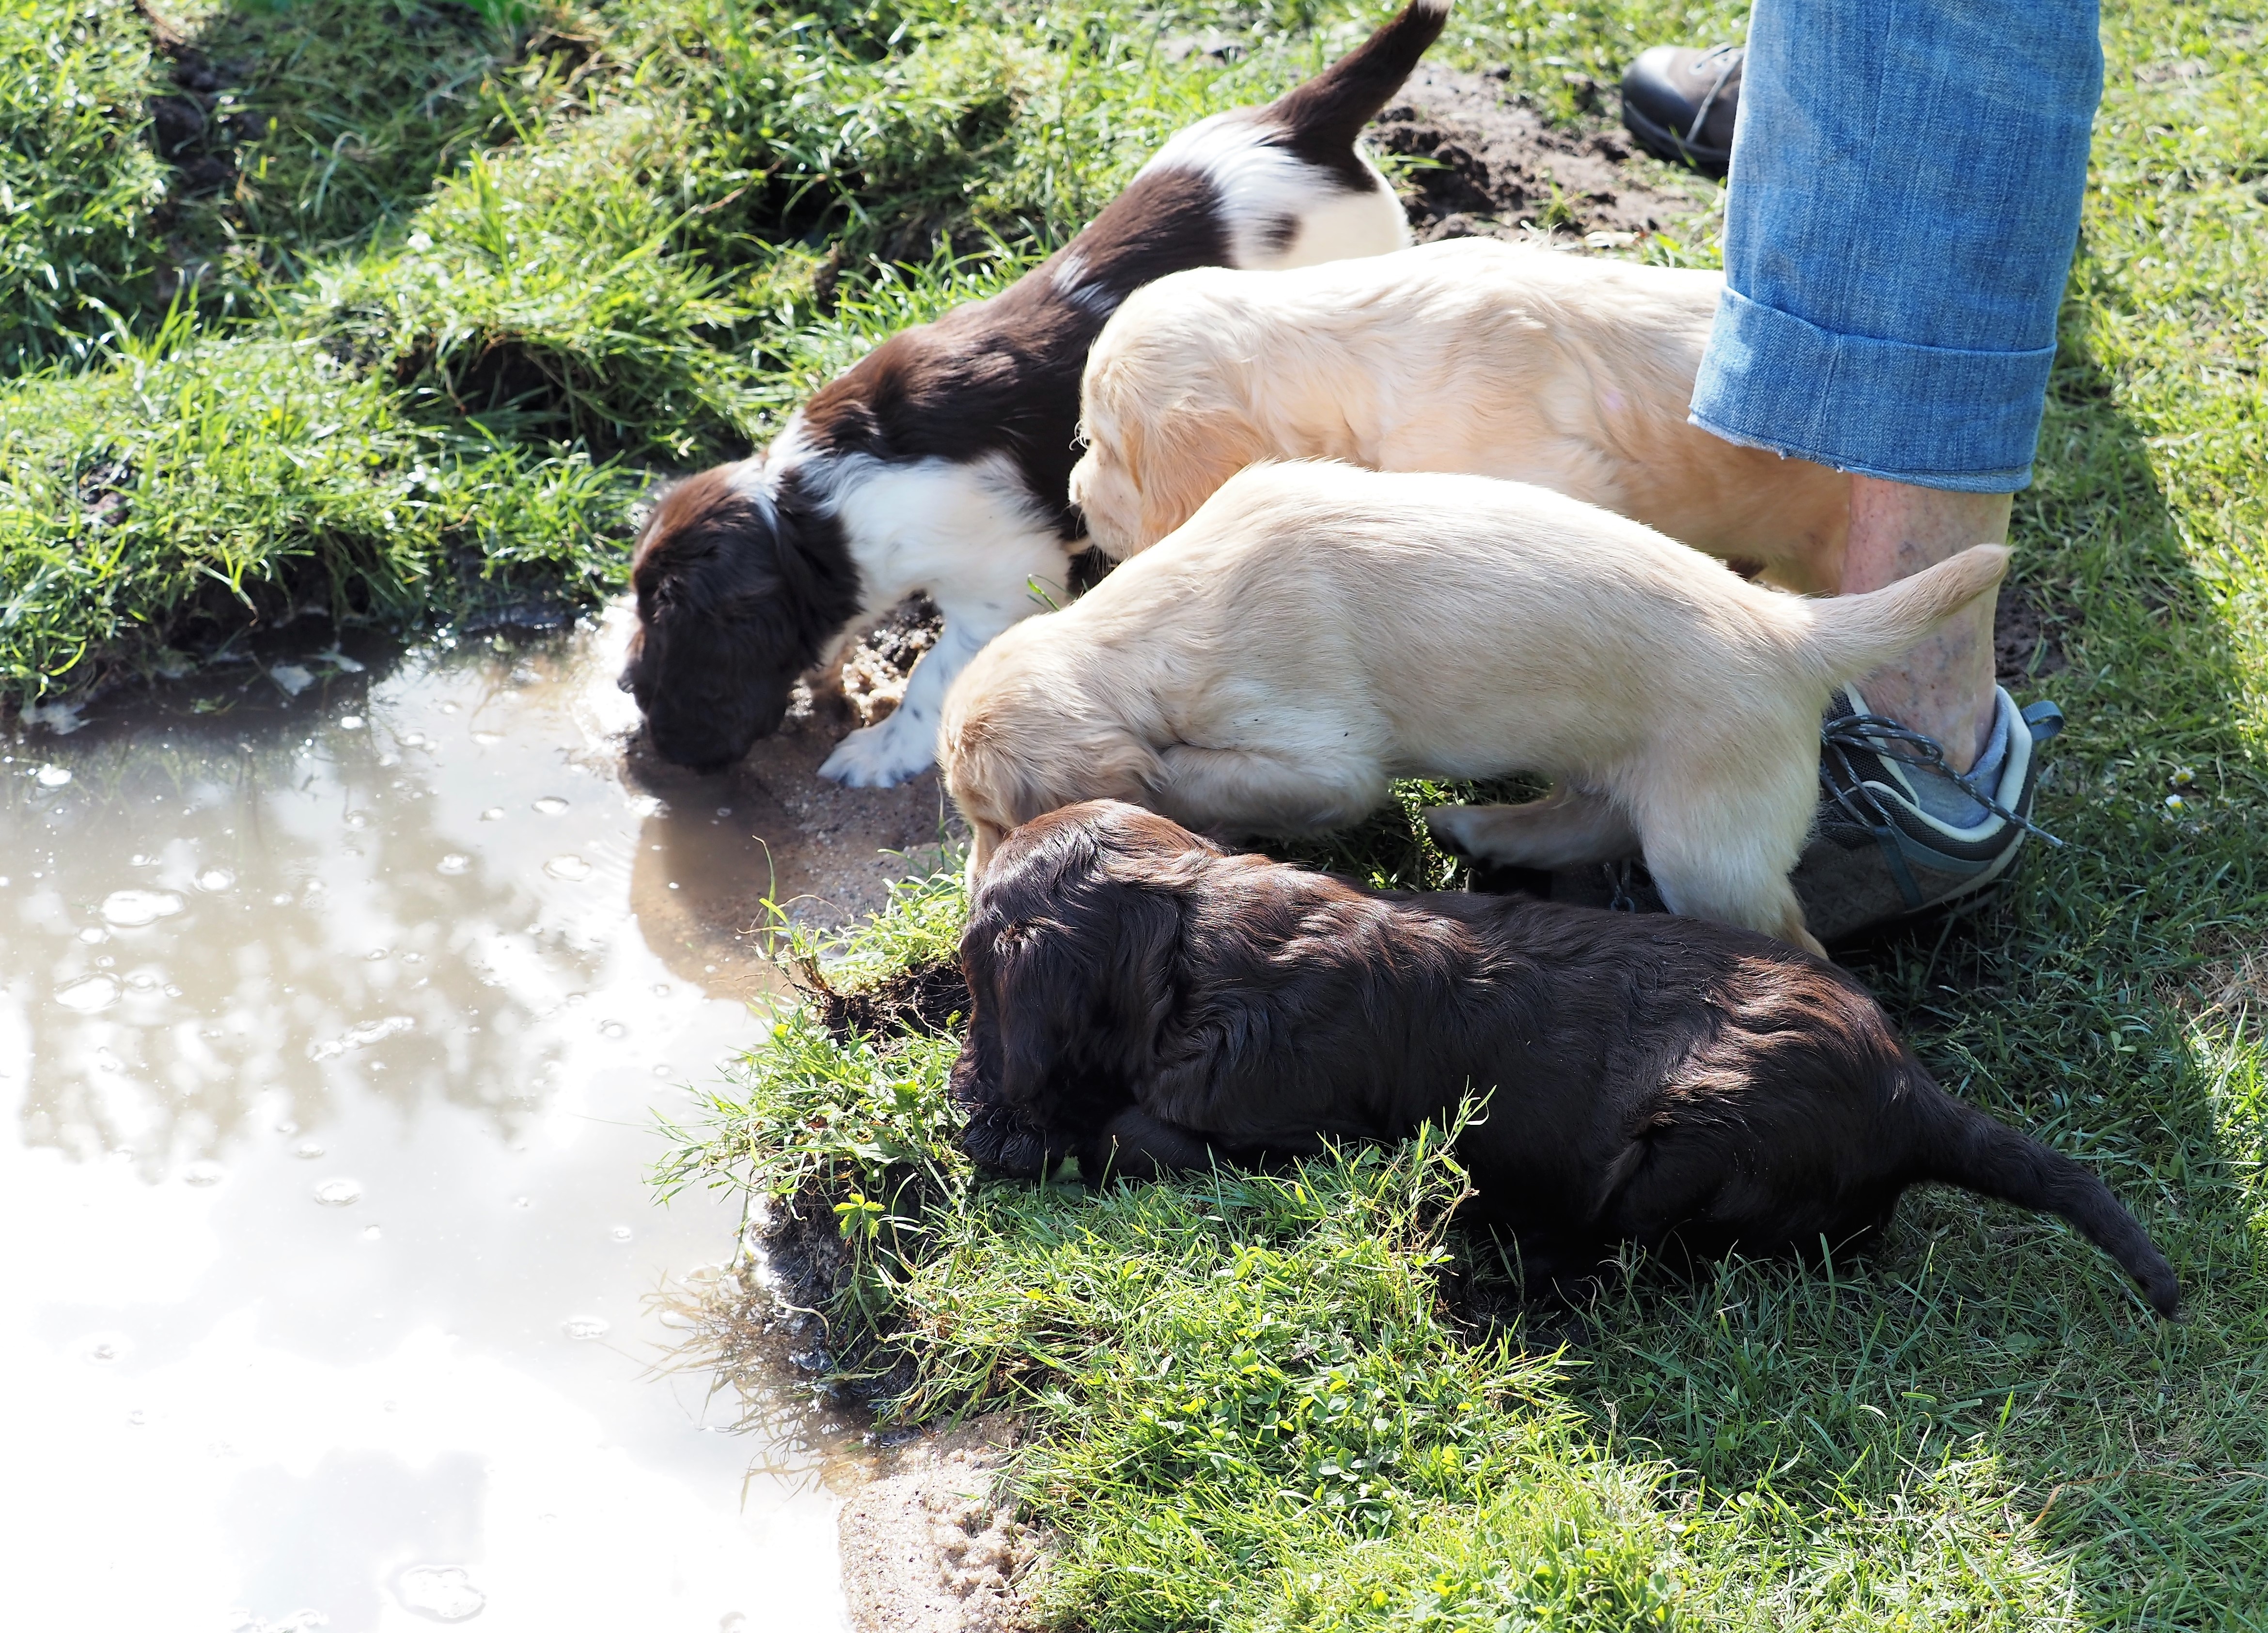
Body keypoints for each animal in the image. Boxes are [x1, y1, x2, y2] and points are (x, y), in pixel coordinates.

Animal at [612, 0, 1442, 789]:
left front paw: (877, 751)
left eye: (663, 616)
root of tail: (1299, 125)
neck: (811, 512)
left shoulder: (1003, 578)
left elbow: (935, 679)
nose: (627, 689)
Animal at [938, 458, 2005, 957]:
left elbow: (1196, 774)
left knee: (1792, 933)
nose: (973, 903)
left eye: (993, 820)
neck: (1147, 620)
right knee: (1589, 816)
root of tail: (1796, 629)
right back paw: (1483, 829)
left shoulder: (1325, 757)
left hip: (1706, 848)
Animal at [943, 798, 2177, 1324]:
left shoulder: (1285, 1130)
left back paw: (1502, 1269)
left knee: (1630, 1260)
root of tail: (1909, 1093)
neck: (1191, 934)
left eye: (971, 971)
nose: (970, 1101)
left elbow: (1129, 1132)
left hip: (1686, 1148)